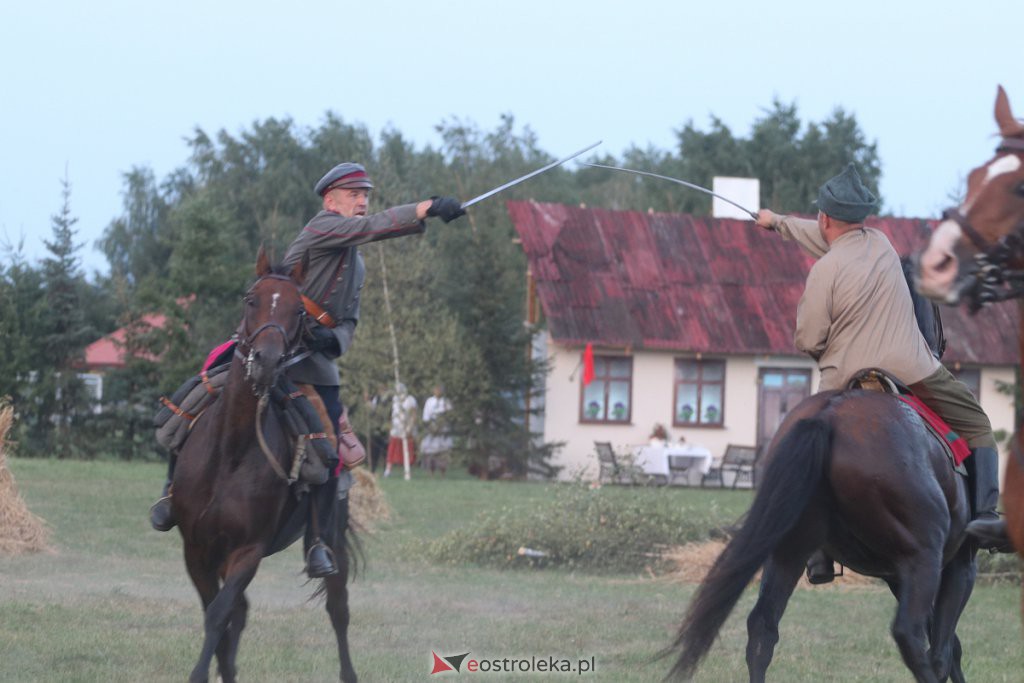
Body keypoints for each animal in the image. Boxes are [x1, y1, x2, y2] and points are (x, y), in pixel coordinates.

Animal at [169, 248, 358, 683]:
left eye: (298, 310)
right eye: (250, 300)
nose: (267, 361)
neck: (230, 452)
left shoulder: (247, 550)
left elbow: (218, 614)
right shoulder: (197, 549)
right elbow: (218, 615)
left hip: (333, 540)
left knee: (338, 609)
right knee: (240, 614)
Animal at [671, 389, 974, 683]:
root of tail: (828, 414)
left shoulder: (898, 576)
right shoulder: (957, 564)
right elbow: (946, 648)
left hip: (790, 552)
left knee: (762, 625)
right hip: (923, 556)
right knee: (909, 633)